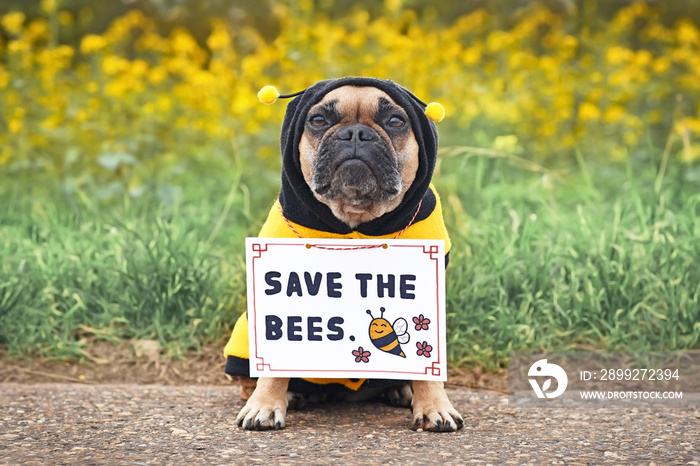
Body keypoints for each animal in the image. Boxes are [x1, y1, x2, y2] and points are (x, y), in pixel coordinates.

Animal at [224, 77, 462, 434]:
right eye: (319, 120)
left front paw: (435, 406)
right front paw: (265, 404)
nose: (355, 134)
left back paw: (403, 388)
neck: (355, 220)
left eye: (396, 121)